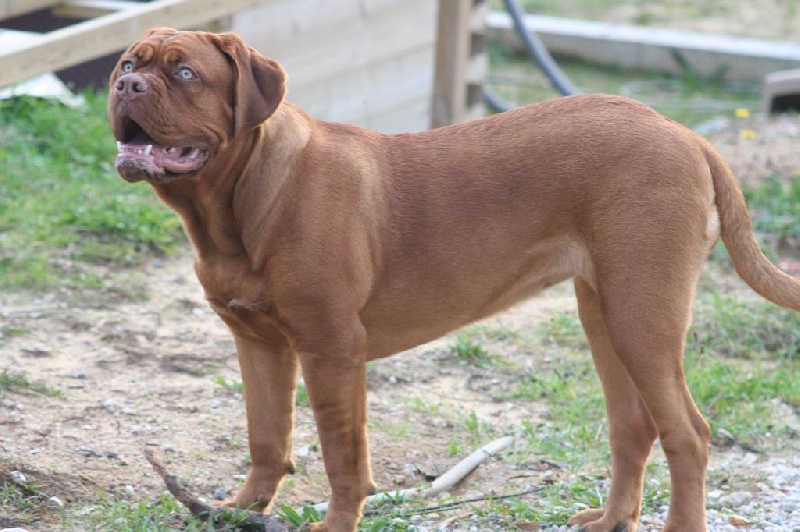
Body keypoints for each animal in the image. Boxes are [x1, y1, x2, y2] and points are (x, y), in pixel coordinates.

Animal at [109, 28, 800, 532]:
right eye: (128, 64)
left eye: (185, 73)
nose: (126, 84)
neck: (237, 204)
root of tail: (687, 135)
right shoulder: (258, 343)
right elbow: (265, 436)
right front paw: (239, 513)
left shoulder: (332, 349)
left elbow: (341, 454)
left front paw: (333, 523)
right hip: (604, 311)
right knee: (634, 426)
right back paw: (609, 520)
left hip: (642, 316)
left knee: (689, 434)